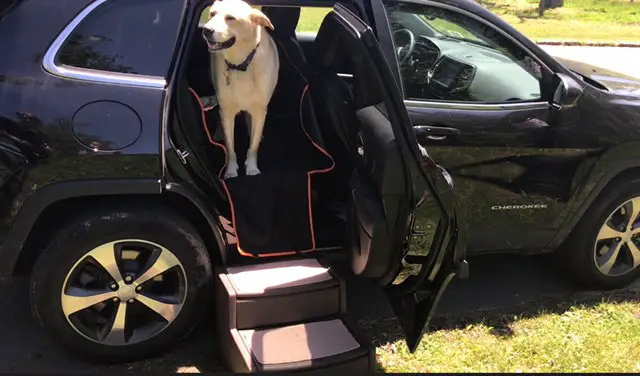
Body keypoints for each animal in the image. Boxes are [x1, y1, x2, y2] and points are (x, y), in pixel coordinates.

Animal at [202, 0, 278, 178]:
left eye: (230, 18)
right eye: (212, 14)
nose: (206, 30)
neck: (241, 64)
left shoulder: (260, 111)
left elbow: (254, 145)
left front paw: (252, 167)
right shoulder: (227, 112)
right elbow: (230, 148)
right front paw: (230, 170)